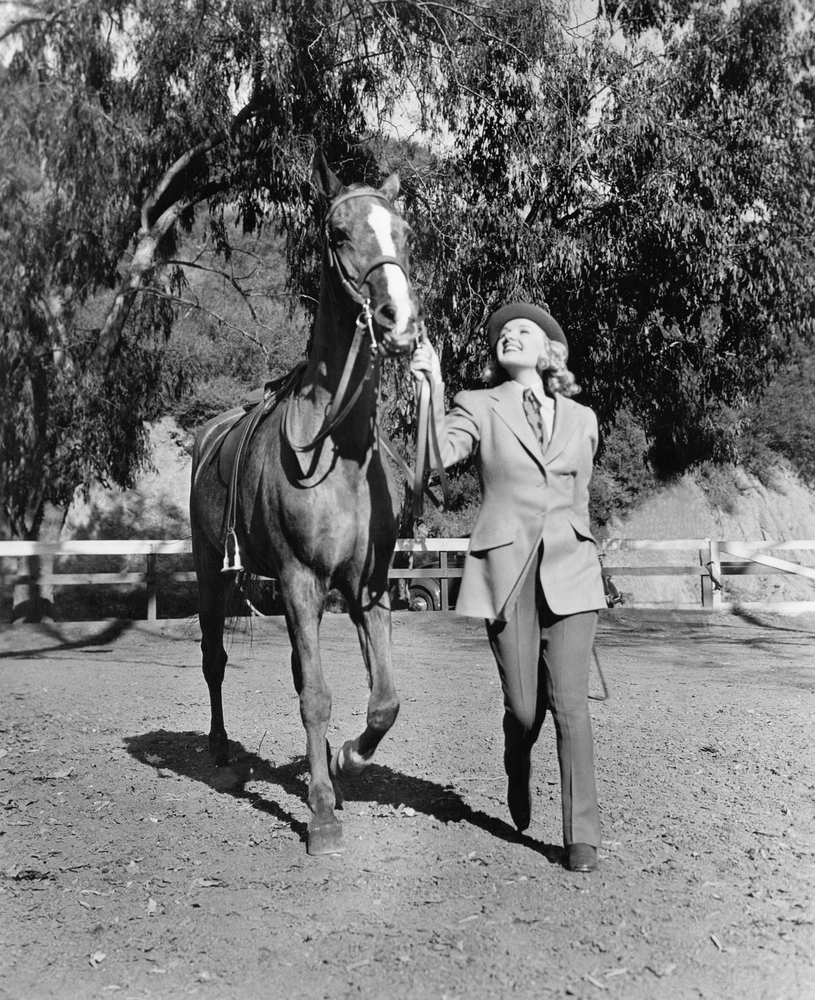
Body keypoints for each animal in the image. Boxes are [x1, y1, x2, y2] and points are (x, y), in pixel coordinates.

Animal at [189, 152, 424, 856]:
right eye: (338, 233)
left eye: (404, 233)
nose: (398, 322)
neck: (338, 448)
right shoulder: (299, 580)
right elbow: (315, 697)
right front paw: (321, 812)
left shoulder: (365, 587)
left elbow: (383, 700)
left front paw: (346, 760)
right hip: (211, 572)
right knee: (214, 659)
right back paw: (220, 750)